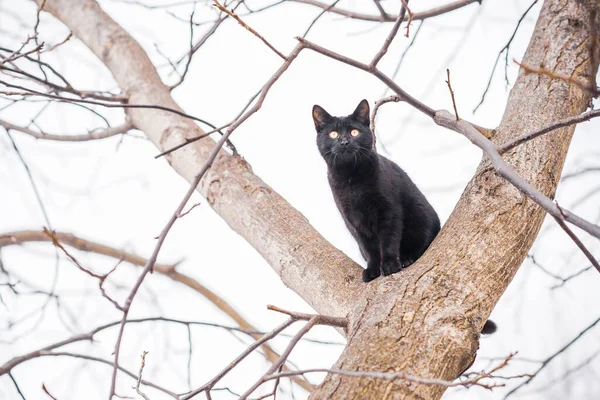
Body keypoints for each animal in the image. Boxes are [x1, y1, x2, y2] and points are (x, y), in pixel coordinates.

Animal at [314, 99, 440, 282]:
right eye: (333, 134)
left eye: (354, 132)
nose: (344, 142)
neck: (351, 179)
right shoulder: (354, 221)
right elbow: (369, 248)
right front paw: (372, 270)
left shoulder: (389, 211)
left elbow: (388, 240)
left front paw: (389, 264)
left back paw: (406, 259)